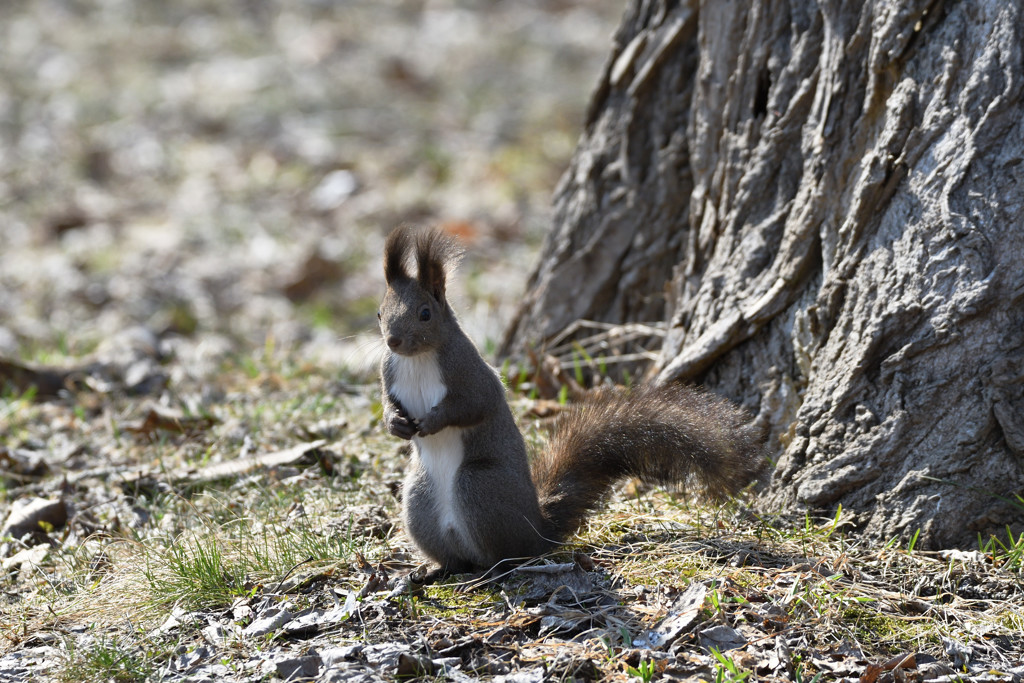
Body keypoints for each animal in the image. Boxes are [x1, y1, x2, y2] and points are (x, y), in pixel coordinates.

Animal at [378, 227, 770, 581]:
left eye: (425, 313)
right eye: (380, 314)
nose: (393, 341)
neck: (418, 359)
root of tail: (535, 530)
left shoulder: (471, 374)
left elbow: (474, 406)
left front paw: (432, 422)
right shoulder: (389, 373)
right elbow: (388, 404)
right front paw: (395, 423)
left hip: (479, 485)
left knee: (503, 555)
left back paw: (494, 569)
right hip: (420, 500)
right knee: (455, 557)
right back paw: (435, 570)